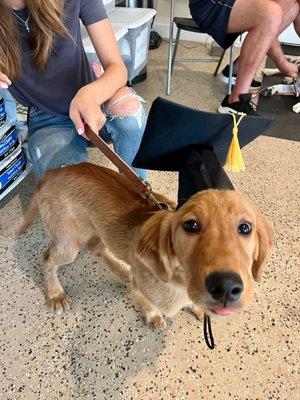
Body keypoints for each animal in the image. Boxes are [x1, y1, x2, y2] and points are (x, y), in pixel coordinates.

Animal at [18, 162, 272, 328]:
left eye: (245, 228)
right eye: (190, 225)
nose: (226, 287)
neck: (179, 281)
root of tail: (52, 172)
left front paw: (197, 307)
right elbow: (146, 299)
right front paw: (153, 316)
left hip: (97, 228)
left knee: (96, 248)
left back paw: (123, 272)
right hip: (68, 242)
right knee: (47, 259)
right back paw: (55, 293)